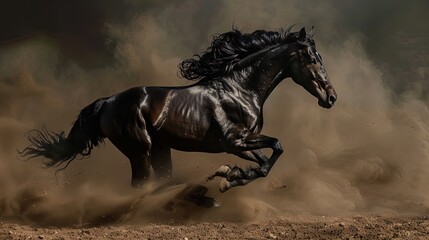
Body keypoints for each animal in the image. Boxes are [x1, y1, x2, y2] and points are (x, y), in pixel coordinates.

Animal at [20, 27, 334, 193]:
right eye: (312, 58)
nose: (331, 97)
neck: (241, 89)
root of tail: (107, 101)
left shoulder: (239, 144)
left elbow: (263, 163)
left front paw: (229, 175)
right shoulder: (235, 140)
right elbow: (277, 147)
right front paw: (229, 177)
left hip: (161, 150)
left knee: (160, 179)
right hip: (140, 150)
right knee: (140, 183)